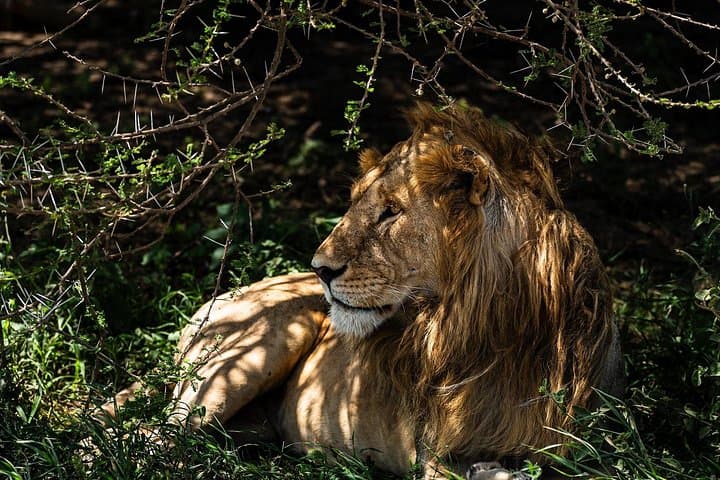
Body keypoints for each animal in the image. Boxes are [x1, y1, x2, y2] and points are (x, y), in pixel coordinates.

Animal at [104, 103, 624, 479]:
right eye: (356, 203)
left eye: (391, 211)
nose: (320, 269)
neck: (489, 329)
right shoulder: (431, 454)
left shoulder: (585, 450)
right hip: (252, 351)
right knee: (149, 437)